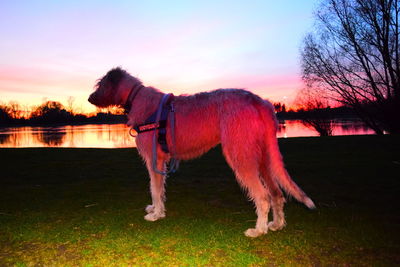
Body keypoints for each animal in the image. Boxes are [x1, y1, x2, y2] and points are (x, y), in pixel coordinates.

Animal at [88, 67, 316, 239]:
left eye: (101, 84)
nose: (89, 98)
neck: (136, 97)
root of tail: (260, 101)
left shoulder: (155, 159)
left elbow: (154, 188)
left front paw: (156, 214)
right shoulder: (162, 160)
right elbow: (158, 188)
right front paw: (155, 209)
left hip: (240, 155)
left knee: (263, 196)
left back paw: (258, 230)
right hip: (262, 157)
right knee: (276, 193)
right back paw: (276, 225)